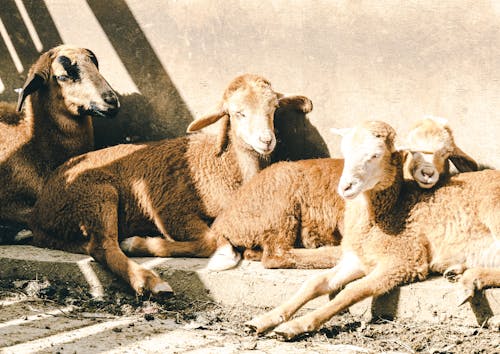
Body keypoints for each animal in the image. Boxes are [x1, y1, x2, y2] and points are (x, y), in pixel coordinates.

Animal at [29, 74, 312, 296]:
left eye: (273, 109)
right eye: (237, 113)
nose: (266, 140)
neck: (224, 165)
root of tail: (40, 213)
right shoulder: (170, 209)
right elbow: (211, 241)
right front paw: (221, 256)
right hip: (95, 195)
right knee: (104, 246)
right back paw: (148, 279)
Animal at [208, 117, 480, 272]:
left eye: (446, 152)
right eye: (346, 152)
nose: (345, 187)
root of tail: (222, 224)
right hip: (279, 212)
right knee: (276, 255)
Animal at [247, 121, 500, 340]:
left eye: (375, 155)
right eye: (345, 152)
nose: (345, 186)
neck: (391, 211)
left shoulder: (403, 260)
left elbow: (352, 291)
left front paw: (296, 326)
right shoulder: (358, 258)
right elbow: (315, 283)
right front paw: (264, 320)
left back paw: (470, 281)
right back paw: (460, 273)